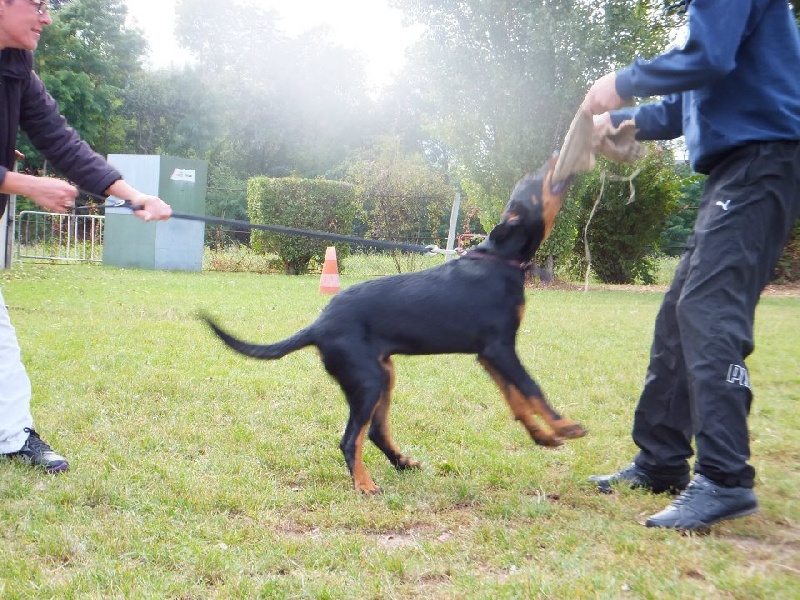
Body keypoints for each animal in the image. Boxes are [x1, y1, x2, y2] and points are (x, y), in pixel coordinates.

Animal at [203, 159, 584, 492]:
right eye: (536, 183)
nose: (557, 160)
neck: (499, 259)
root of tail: (318, 324)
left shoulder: (488, 355)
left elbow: (517, 400)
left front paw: (543, 437)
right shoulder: (500, 347)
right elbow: (532, 389)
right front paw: (565, 426)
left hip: (383, 375)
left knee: (374, 432)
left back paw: (402, 463)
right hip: (368, 380)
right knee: (350, 439)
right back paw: (364, 485)